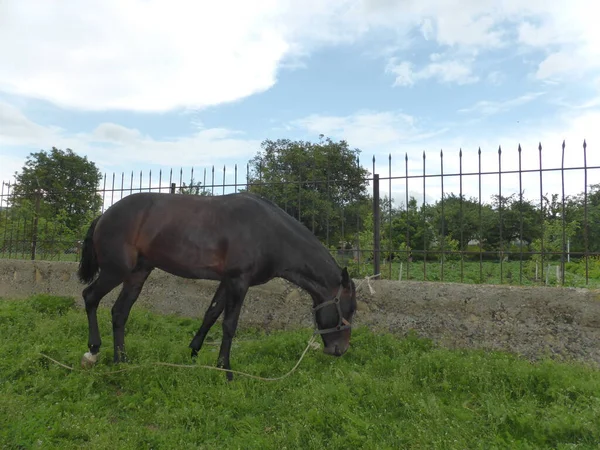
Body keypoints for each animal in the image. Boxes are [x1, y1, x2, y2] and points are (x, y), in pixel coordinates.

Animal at [75, 191, 356, 380]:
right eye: (349, 309)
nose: (340, 350)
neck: (270, 233)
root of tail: (104, 215)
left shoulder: (227, 281)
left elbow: (210, 315)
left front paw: (194, 354)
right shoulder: (239, 281)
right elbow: (229, 324)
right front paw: (225, 369)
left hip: (137, 274)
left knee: (119, 312)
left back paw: (121, 360)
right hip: (116, 271)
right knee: (90, 297)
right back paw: (93, 351)